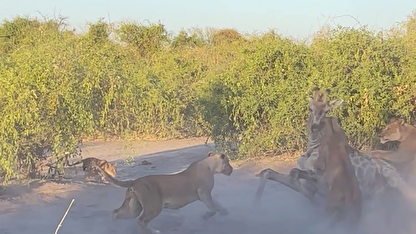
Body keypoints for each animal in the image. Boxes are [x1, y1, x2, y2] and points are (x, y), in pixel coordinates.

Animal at [255, 87, 412, 207]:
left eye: (326, 111)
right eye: (310, 109)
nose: (315, 126)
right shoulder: (309, 189)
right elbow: (268, 172)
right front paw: (256, 204)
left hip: (392, 177)